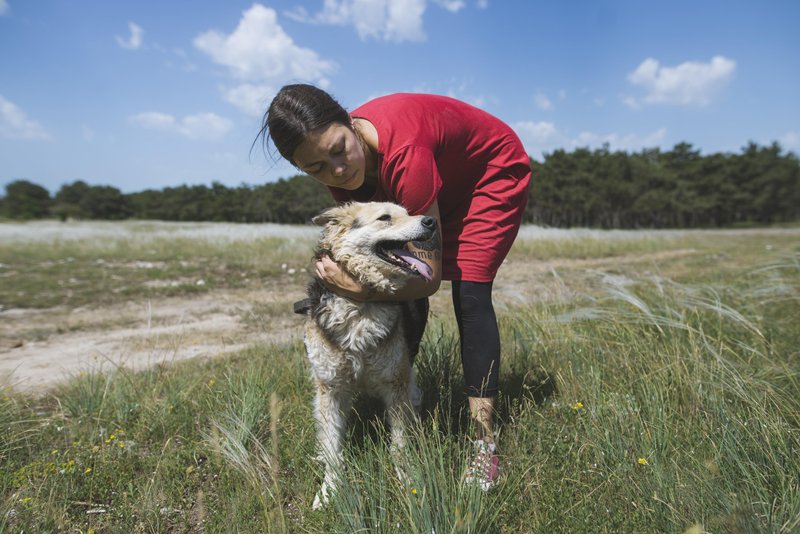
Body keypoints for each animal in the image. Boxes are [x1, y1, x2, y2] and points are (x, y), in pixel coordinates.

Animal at [296, 202, 440, 510]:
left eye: (407, 212)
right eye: (385, 218)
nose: (431, 222)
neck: (359, 304)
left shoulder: (395, 384)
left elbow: (399, 445)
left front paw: (408, 481)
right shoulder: (330, 388)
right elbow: (332, 448)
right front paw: (328, 491)